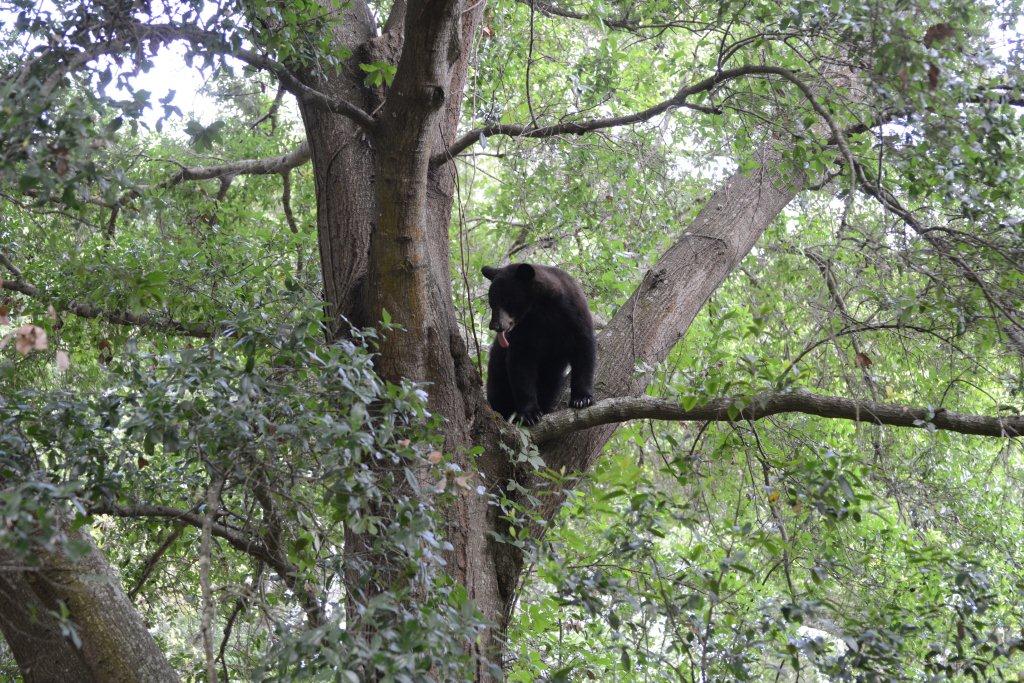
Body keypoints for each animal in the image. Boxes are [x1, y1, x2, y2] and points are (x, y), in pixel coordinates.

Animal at [483, 260, 598, 423]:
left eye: (506, 300)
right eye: (492, 302)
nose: (494, 325)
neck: (540, 309)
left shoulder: (574, 314)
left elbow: (583, 350)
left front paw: (582, 399)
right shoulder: (524, 331)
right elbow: (521, 364)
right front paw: (530, 414)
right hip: (496, 371)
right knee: (499, 392)